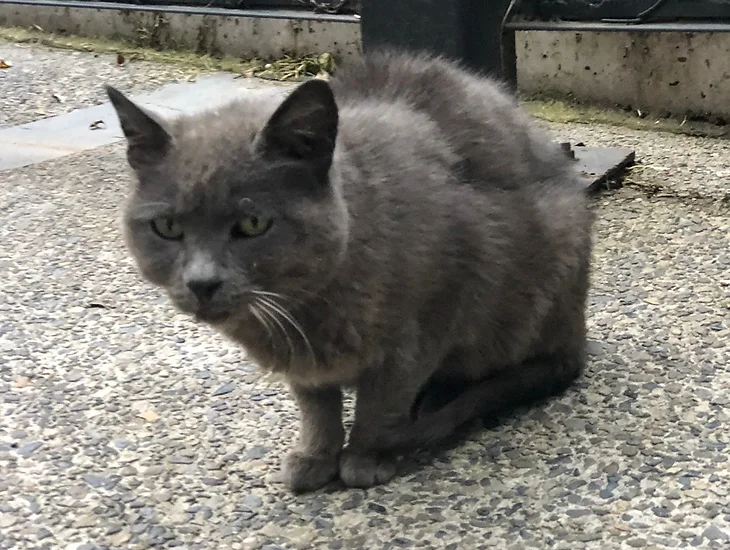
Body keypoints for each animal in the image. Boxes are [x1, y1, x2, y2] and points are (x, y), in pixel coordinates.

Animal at [107, 49, 593, 493]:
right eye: (167, 227)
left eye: (253, 223)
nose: (201, 282)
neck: (304, 312)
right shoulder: (302, 363)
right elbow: (316, 408)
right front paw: (315, 458)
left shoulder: (428, 324)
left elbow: (382, 403)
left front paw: (366, 456)